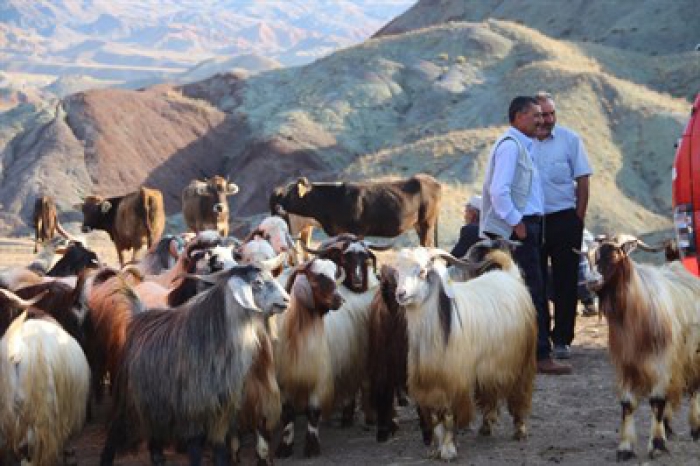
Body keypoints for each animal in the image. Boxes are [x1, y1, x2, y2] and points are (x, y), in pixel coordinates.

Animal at [99, 264, 290, 466]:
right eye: (257, 282)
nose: (286, 299)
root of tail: (138, 316)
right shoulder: (192, 408)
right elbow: (195, 446)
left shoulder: (221, 411)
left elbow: (220, 448)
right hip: (129, 392)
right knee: (116, 427)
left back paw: (157, 456)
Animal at [270, 174, 440, 248]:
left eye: (292, 193)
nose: (278, 205)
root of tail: (432, 180)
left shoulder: (356, 232)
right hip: (419, 225)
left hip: (427, 222)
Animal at [394, 248, 536, 458]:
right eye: (396, 272)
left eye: (422, 272)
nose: (401, 294)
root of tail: (511, 276)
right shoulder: (431, 381)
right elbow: (436, 416)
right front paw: (437, 450)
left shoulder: (453, 379)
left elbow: (448, 415)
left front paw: (449, 450)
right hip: (489, 365)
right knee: (490, 393)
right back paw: (486, 427)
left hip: (522, 361)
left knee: (519, 394)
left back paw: (520, 430)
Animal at [584, 235, 700, 460]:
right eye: (591, 257)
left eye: (614, 255)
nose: (592, 281)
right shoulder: (627, 364)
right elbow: (627, 404)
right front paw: (625, 447)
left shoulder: (663, 360)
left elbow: (656, 401)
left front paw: (657, 444)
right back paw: (668, 426)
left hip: (693, 354)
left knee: (695, 388)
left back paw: (696, 428)